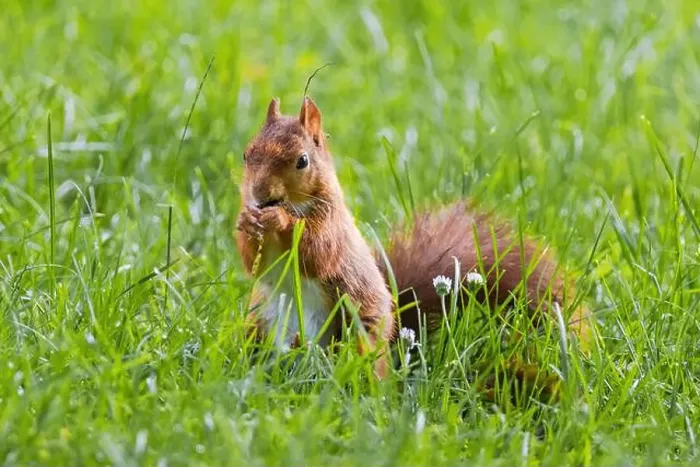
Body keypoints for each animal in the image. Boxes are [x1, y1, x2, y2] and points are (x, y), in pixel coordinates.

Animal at [235, 95, 591, 384]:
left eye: (302, 161)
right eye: (246, 154)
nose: (259, 195)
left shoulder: (331, 226)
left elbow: (315, 252)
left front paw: (279, 220)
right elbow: (254, 264)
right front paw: (246, 220)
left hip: (357, 325)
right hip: (260, 323)